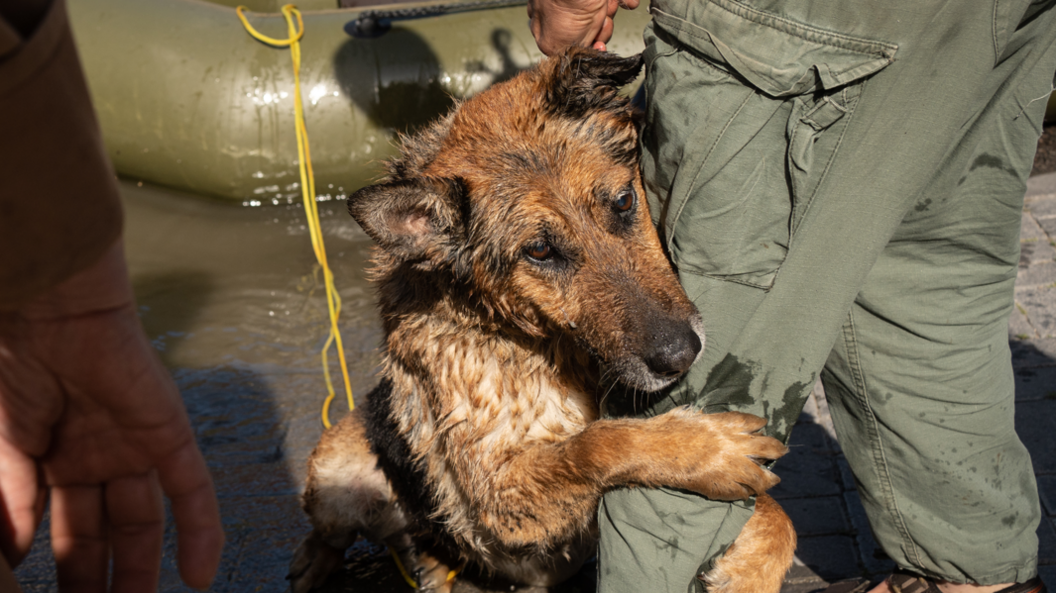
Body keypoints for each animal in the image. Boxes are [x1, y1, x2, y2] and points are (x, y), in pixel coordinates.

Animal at [287, 47, 794, 590]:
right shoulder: (497, 497)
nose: (681, 355)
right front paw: (704, 449)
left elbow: (777, 517)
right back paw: (316, 565)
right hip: (337, 471)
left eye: (623, 202)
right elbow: (597, 444)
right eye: (539, 251)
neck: (530, 337)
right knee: (330, 533)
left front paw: (750, 568)